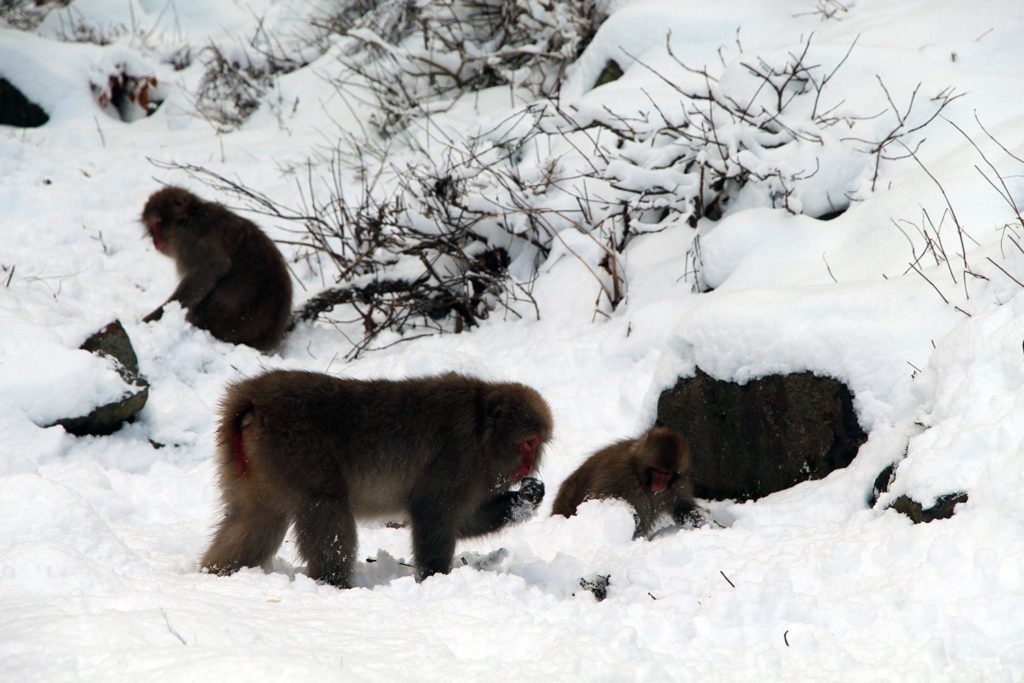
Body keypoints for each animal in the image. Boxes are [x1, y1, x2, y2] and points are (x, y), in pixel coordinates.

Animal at [140, 185, 292, 352]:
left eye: (157, 223)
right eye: (151, 227)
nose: (154, 241)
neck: (189, 219)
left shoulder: (196, 242)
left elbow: (214, 267)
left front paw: (155, 316)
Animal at [199, 368, 552, 589]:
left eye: (537, 444)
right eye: (528, 443)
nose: (528, 467)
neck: (480, 433)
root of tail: (252, 399)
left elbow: (463, 521)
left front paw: (527, 497)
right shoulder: (456, 459)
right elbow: (434, 514)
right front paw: (435, 578)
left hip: (255, 467)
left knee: (256, 517)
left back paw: (215, 573)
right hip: (295, 450)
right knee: (325, 506)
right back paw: (335, 585)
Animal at [552, 428, 696, 540]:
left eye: (667, 474)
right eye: (657, 471)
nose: (660, 485)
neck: (639, 474)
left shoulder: (679, 483)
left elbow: (682, 506)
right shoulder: (620, 473)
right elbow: (600, 499)